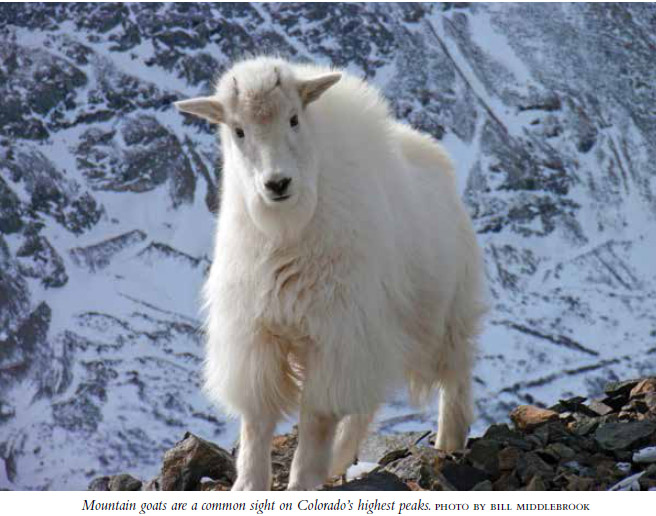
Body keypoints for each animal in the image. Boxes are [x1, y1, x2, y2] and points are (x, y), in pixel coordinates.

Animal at [177, 58, 484, 490]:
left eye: (293, 118)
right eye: (238, 130)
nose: (277, 183)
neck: (286, 232)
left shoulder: (336, 334)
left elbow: (318, 416)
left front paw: (302, 482)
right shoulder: (257, 334)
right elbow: (257, 419)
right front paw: (249, 484)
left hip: (445, 315)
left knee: (455, 377)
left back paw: (448, 443)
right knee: (366, 405)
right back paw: (340, 463)